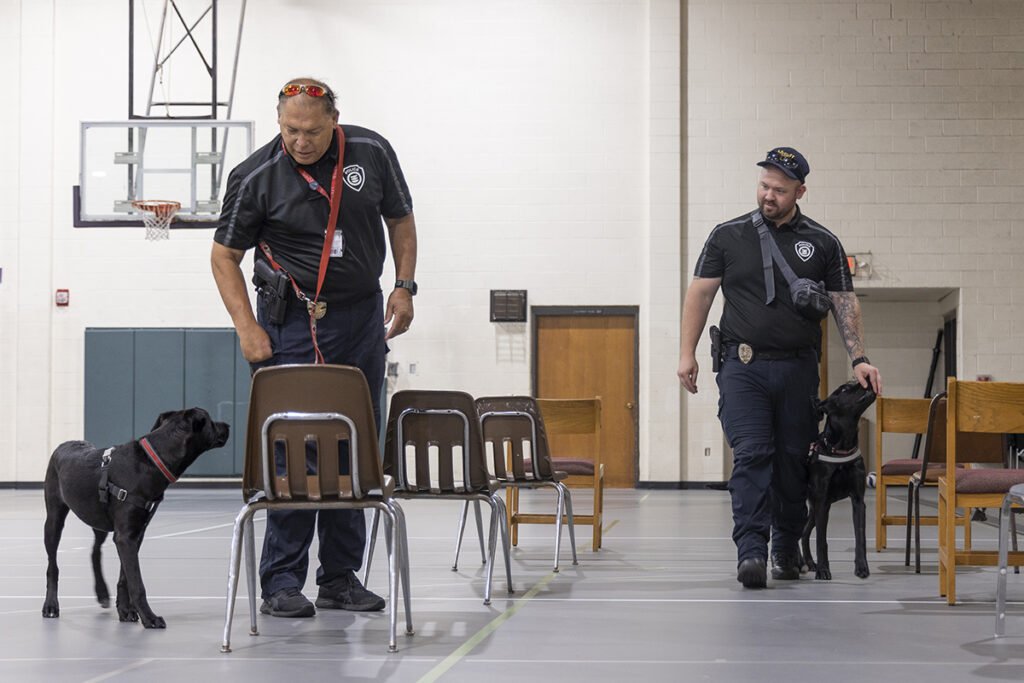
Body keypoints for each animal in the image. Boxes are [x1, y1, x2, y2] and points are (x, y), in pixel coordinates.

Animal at [41, 409, 228, 626]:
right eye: (211, 421)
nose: (228, 426)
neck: (153, 461)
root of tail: (65, 444)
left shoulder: (135, 533)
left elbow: (125, 577)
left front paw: (125, 610)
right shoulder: (125, 536)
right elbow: (137, 583)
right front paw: (150, 618)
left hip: (99, 518)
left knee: (95, 551)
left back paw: (102, 592)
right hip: (54, 519)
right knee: (52, 566)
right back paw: (51, 605)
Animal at [802, 382, 876, 581]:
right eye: (843, 390)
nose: (866, 379)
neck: (842, 446)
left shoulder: (858, 501)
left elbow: (860, 537)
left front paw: (862, 567)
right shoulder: (822, 502)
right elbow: (821, 540)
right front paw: (823, 570)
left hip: (814, 510)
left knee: (804, 533)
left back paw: (809, 562)